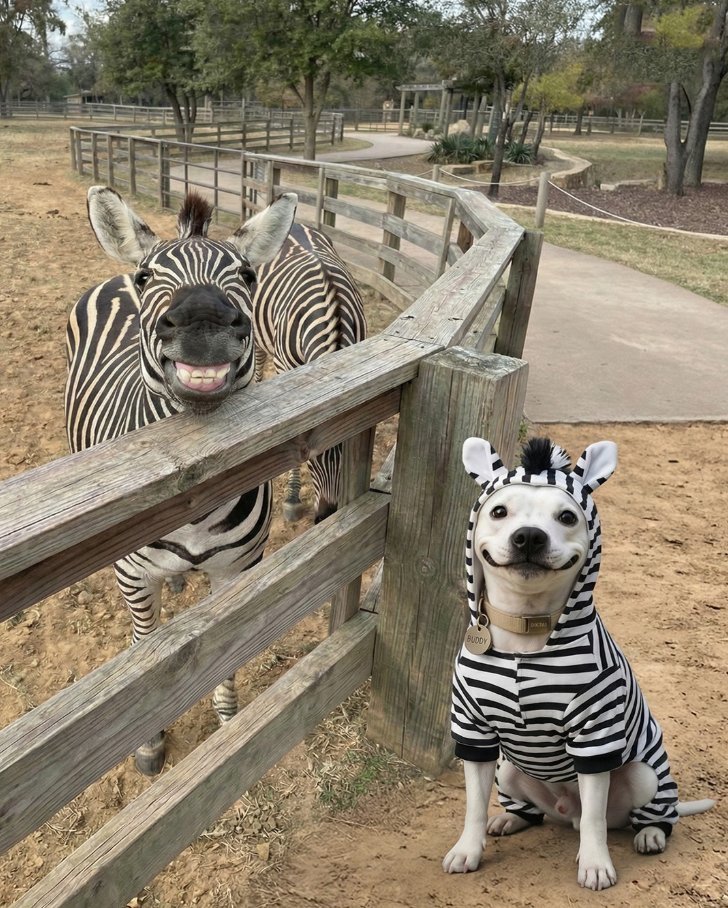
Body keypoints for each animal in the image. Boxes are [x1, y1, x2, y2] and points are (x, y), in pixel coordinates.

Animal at [65, 185, 297, 774]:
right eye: (148, 276)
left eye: (247, 275)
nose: (203, 319)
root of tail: (111, 280)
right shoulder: (131, 578)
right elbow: (146, 651)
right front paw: (149, 743)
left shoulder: (240, 570)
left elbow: (230, 645)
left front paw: (229, 718)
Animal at [253, 223, 366, 523]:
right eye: (310, 455)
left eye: (349, 446)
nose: (326, 516)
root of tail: (296, 224)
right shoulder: (285, 367)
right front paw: (292, 499)